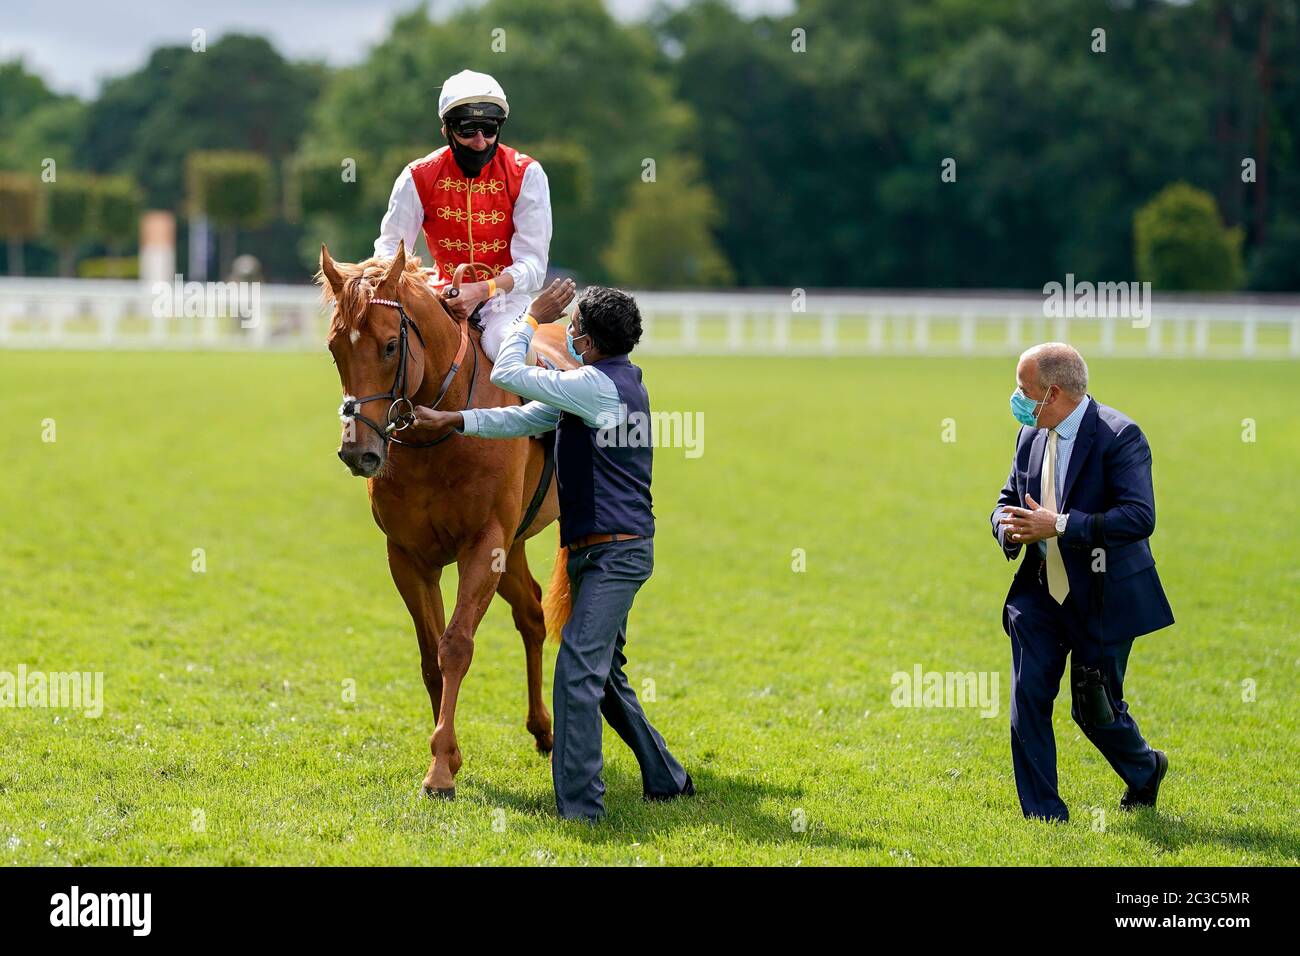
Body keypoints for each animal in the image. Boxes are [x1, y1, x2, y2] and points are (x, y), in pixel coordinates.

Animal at [317, 240, 572, 801]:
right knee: (532, 613)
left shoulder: (484, 544)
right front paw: (447, 756)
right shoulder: (409, 557)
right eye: (334, 349)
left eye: (391, 346)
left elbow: (455, 647)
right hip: (514, 547)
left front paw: (439, 769)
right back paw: (542, 729)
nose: (357, 452)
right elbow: (429, 654)